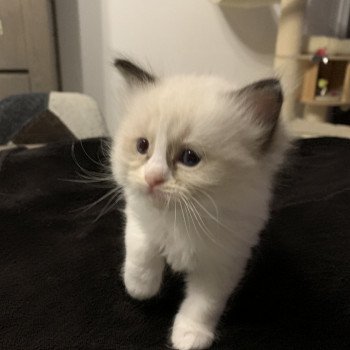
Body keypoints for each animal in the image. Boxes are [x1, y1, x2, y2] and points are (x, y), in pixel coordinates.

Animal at [111, 60, 290, 350]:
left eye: (189, 158)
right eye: (142, 146)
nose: (152, 178)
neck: (181, 220)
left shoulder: (222, 262)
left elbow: (203, 305)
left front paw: (189, 337)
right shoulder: (138, 212)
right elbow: (141, 250)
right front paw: (140, 289)